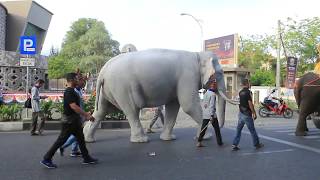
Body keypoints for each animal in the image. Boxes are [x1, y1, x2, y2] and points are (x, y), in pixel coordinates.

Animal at [82, 48, 238, 142]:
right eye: (219, 73)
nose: (220, 126)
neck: (197, 54)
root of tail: (103, 70)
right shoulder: (188, 76)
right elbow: (188, 105)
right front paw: (207, 137)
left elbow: (173, 107)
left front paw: (168, 139)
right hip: (122, 87)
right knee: (131, 110)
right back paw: (141, 140)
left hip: (107, 91)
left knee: (101, 111)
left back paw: (87, 138)